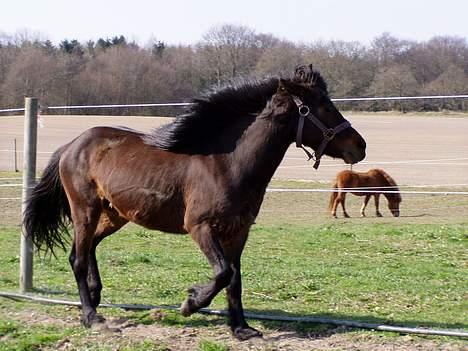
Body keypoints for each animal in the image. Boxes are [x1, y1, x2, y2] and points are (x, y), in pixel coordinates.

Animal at [23, 65, 366, 340]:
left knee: (87, 248)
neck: (228, 164)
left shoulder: (239, 232)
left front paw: (241, 329)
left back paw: (95, 298)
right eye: (323, 106)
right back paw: (91, 316)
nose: (359, 146)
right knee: (78, 258)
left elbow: (235, 280)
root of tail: (71, 146)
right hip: (85, 209)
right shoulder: (200, 227)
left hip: (115, 215)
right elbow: (223, 273)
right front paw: (190, 303)